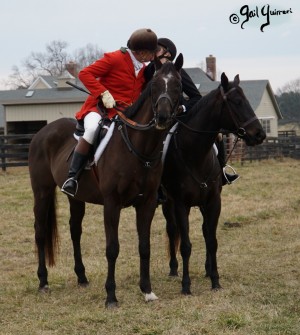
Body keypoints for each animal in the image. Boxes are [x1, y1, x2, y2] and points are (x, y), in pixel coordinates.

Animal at [28, 55, 183, 310]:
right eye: (154, 86)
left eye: (178, 85)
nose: (162, 117)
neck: (138, 147)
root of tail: (43, 131)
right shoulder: (112, 203)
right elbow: (112, 249)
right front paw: (111, 296)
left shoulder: (147, 203)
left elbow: (144, 246)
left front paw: (147, 290)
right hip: (42, 192)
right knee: (40, 232)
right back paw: (42, 282)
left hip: (75, 197)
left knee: (75, 231)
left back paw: (81, 277)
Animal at [161, 72, 266, 296]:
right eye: (237, 102)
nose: (259, 134)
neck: (195, 154)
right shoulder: (181, 204)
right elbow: (186, 245)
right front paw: (186, 285)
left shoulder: (213, 202)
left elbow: (211, 240)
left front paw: (215, 280)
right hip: (168, 203)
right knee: (172, 230)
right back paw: (173, 269)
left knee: (203, 230)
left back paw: (207, 269)